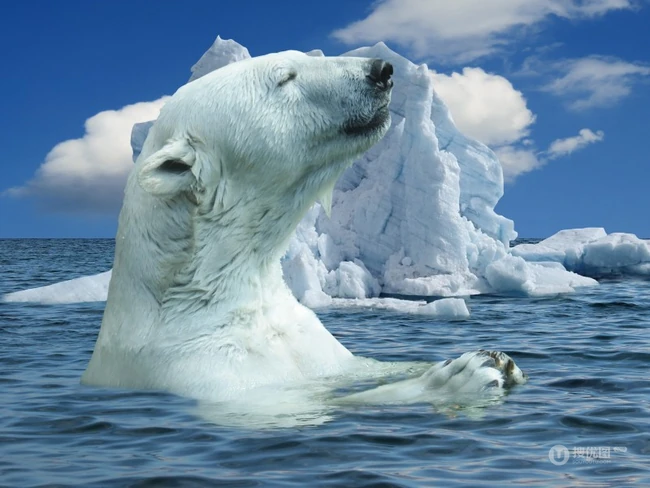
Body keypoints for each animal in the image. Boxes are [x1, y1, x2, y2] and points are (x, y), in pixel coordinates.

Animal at [81, 51, 526, 407]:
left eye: (296, 58)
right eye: (286, 77)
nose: (381, 70)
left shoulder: (318, 347)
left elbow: (363, 367)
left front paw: (496, 359)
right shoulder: (204, 369)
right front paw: (462, 375)